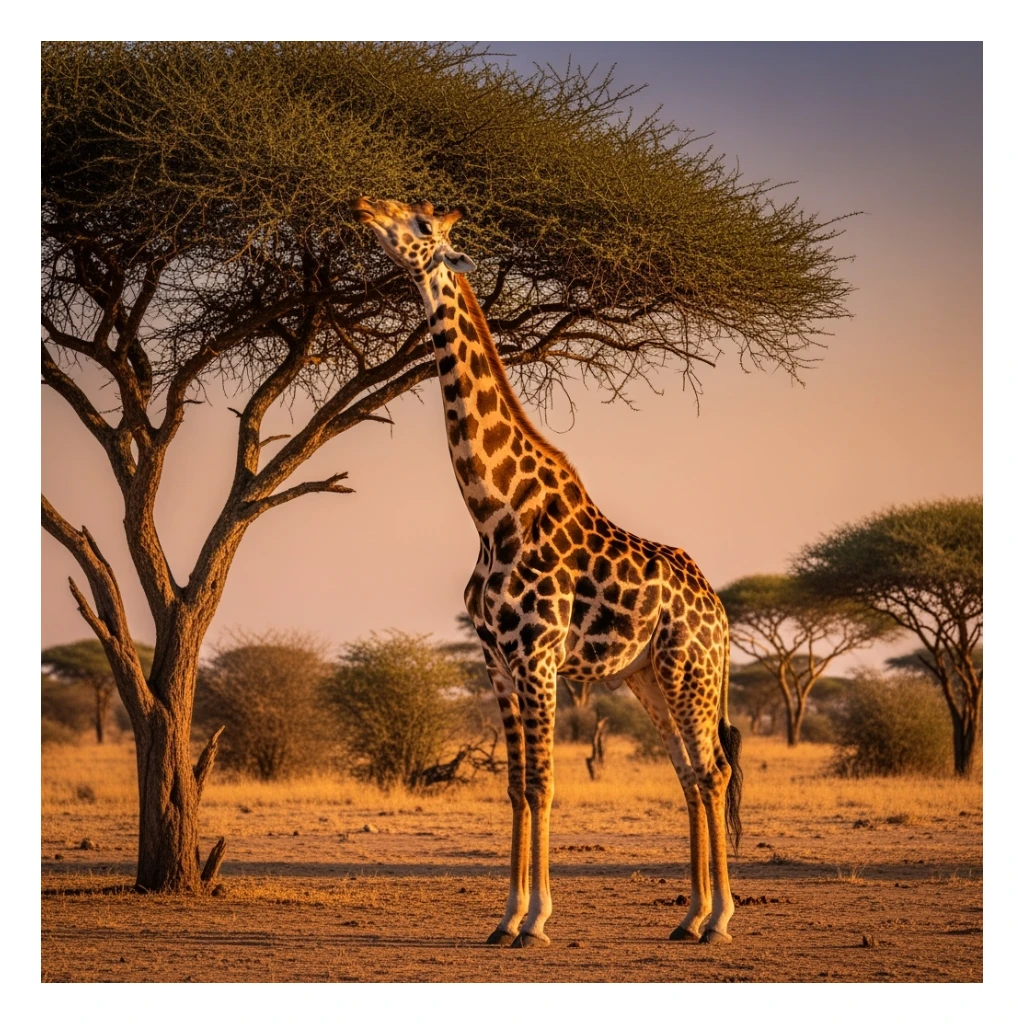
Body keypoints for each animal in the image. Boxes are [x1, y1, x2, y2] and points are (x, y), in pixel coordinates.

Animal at [351, 197, 743, 947]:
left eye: (420, 223)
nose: (361, 206)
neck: (493, 511)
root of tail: (722, 615)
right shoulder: (496, 662)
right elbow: (514, 787)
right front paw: (504, 918)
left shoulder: (537, 657)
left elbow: (543, 784)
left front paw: (535, 921)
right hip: (647, 677)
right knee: (688, 774)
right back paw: (688, 917)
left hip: (689, 671)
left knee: (711, 770)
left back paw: (719, 920)